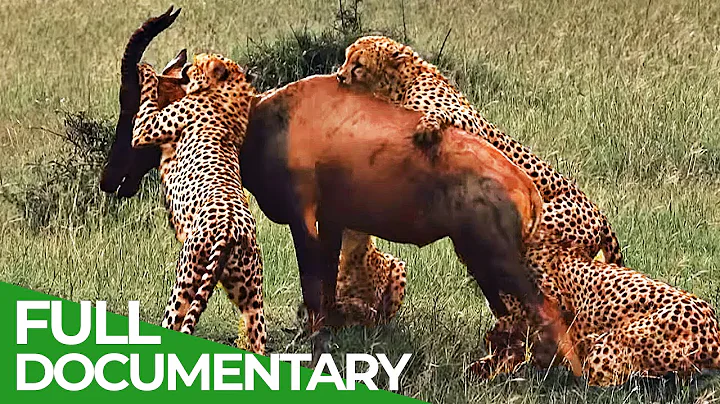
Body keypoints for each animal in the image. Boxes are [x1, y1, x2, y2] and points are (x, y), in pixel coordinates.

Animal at [131, 53, 267, 354]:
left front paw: (146, 69)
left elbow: (147, 100)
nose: (185, 66)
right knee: (258, 335)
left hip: (186, 280)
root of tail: (230, 226)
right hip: (250, 295)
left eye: (198, 62)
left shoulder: (145, 129)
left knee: (173, 321)